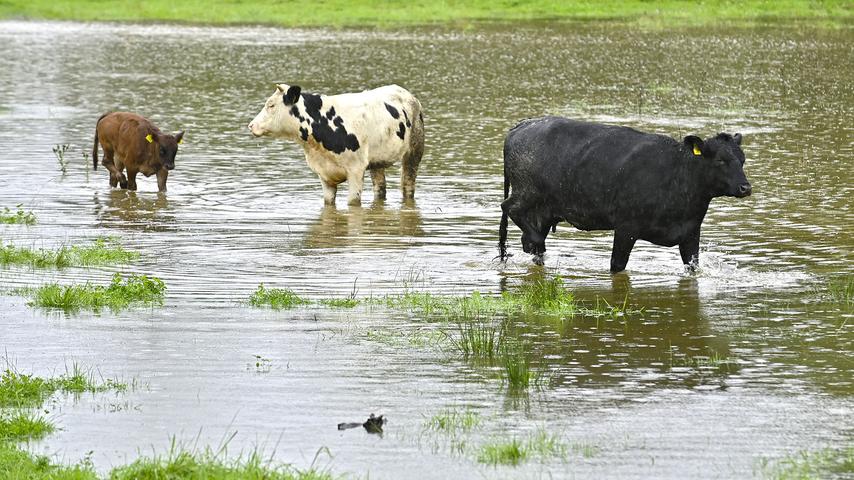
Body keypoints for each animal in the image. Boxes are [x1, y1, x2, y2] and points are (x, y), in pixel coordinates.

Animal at [249, 83, 426, 205]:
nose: (251, 125)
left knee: (408, 186)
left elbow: (353, 204)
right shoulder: (323, 175)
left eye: (271, 105)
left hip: (414, 150)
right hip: (377, 161)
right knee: (380, 188)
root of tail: (407, 94)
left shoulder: (355, 170)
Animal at [498, 116, 752, 272]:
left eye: (742, 160)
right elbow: (617, 265)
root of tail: (521, 126)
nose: (745, 188)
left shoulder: (690, 233)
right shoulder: (626, 228)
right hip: (527, 192)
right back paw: (534, 240)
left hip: (545, 210)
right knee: (509, 208)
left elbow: (693, 267)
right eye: (720, 160)